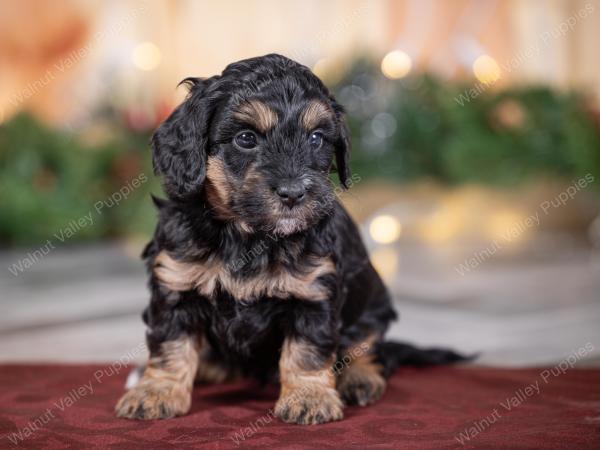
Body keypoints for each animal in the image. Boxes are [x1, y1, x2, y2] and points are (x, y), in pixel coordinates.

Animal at [116, 54, 464, 424]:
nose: (294, 193)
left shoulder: (312, 292)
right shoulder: (175, 284)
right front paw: (156, 391)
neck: (249, 235)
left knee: (367, 347)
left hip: (373, 305)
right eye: (246, 138)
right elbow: (171, 345)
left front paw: (309, 397)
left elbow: (307, 350)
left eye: (316, 139)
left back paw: (359, 377)